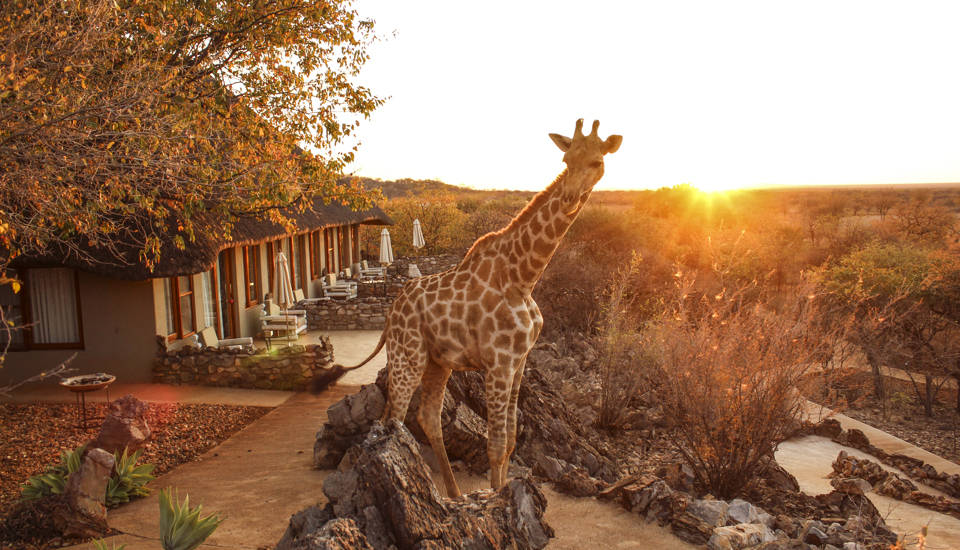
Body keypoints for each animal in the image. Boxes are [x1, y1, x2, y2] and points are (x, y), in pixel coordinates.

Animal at [313, 119, 622, 497]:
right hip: (407, 356)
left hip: (437, 362)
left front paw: (501, 492)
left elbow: (510, 439)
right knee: (392, 419)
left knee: (427, 416)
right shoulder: (499, 362)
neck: (523, 277)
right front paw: (497, 497)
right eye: (565, 159)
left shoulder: (519, 362)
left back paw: (455, 494)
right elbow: (496, 443)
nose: (569, 197)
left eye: (596, 162)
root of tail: (391, 312)